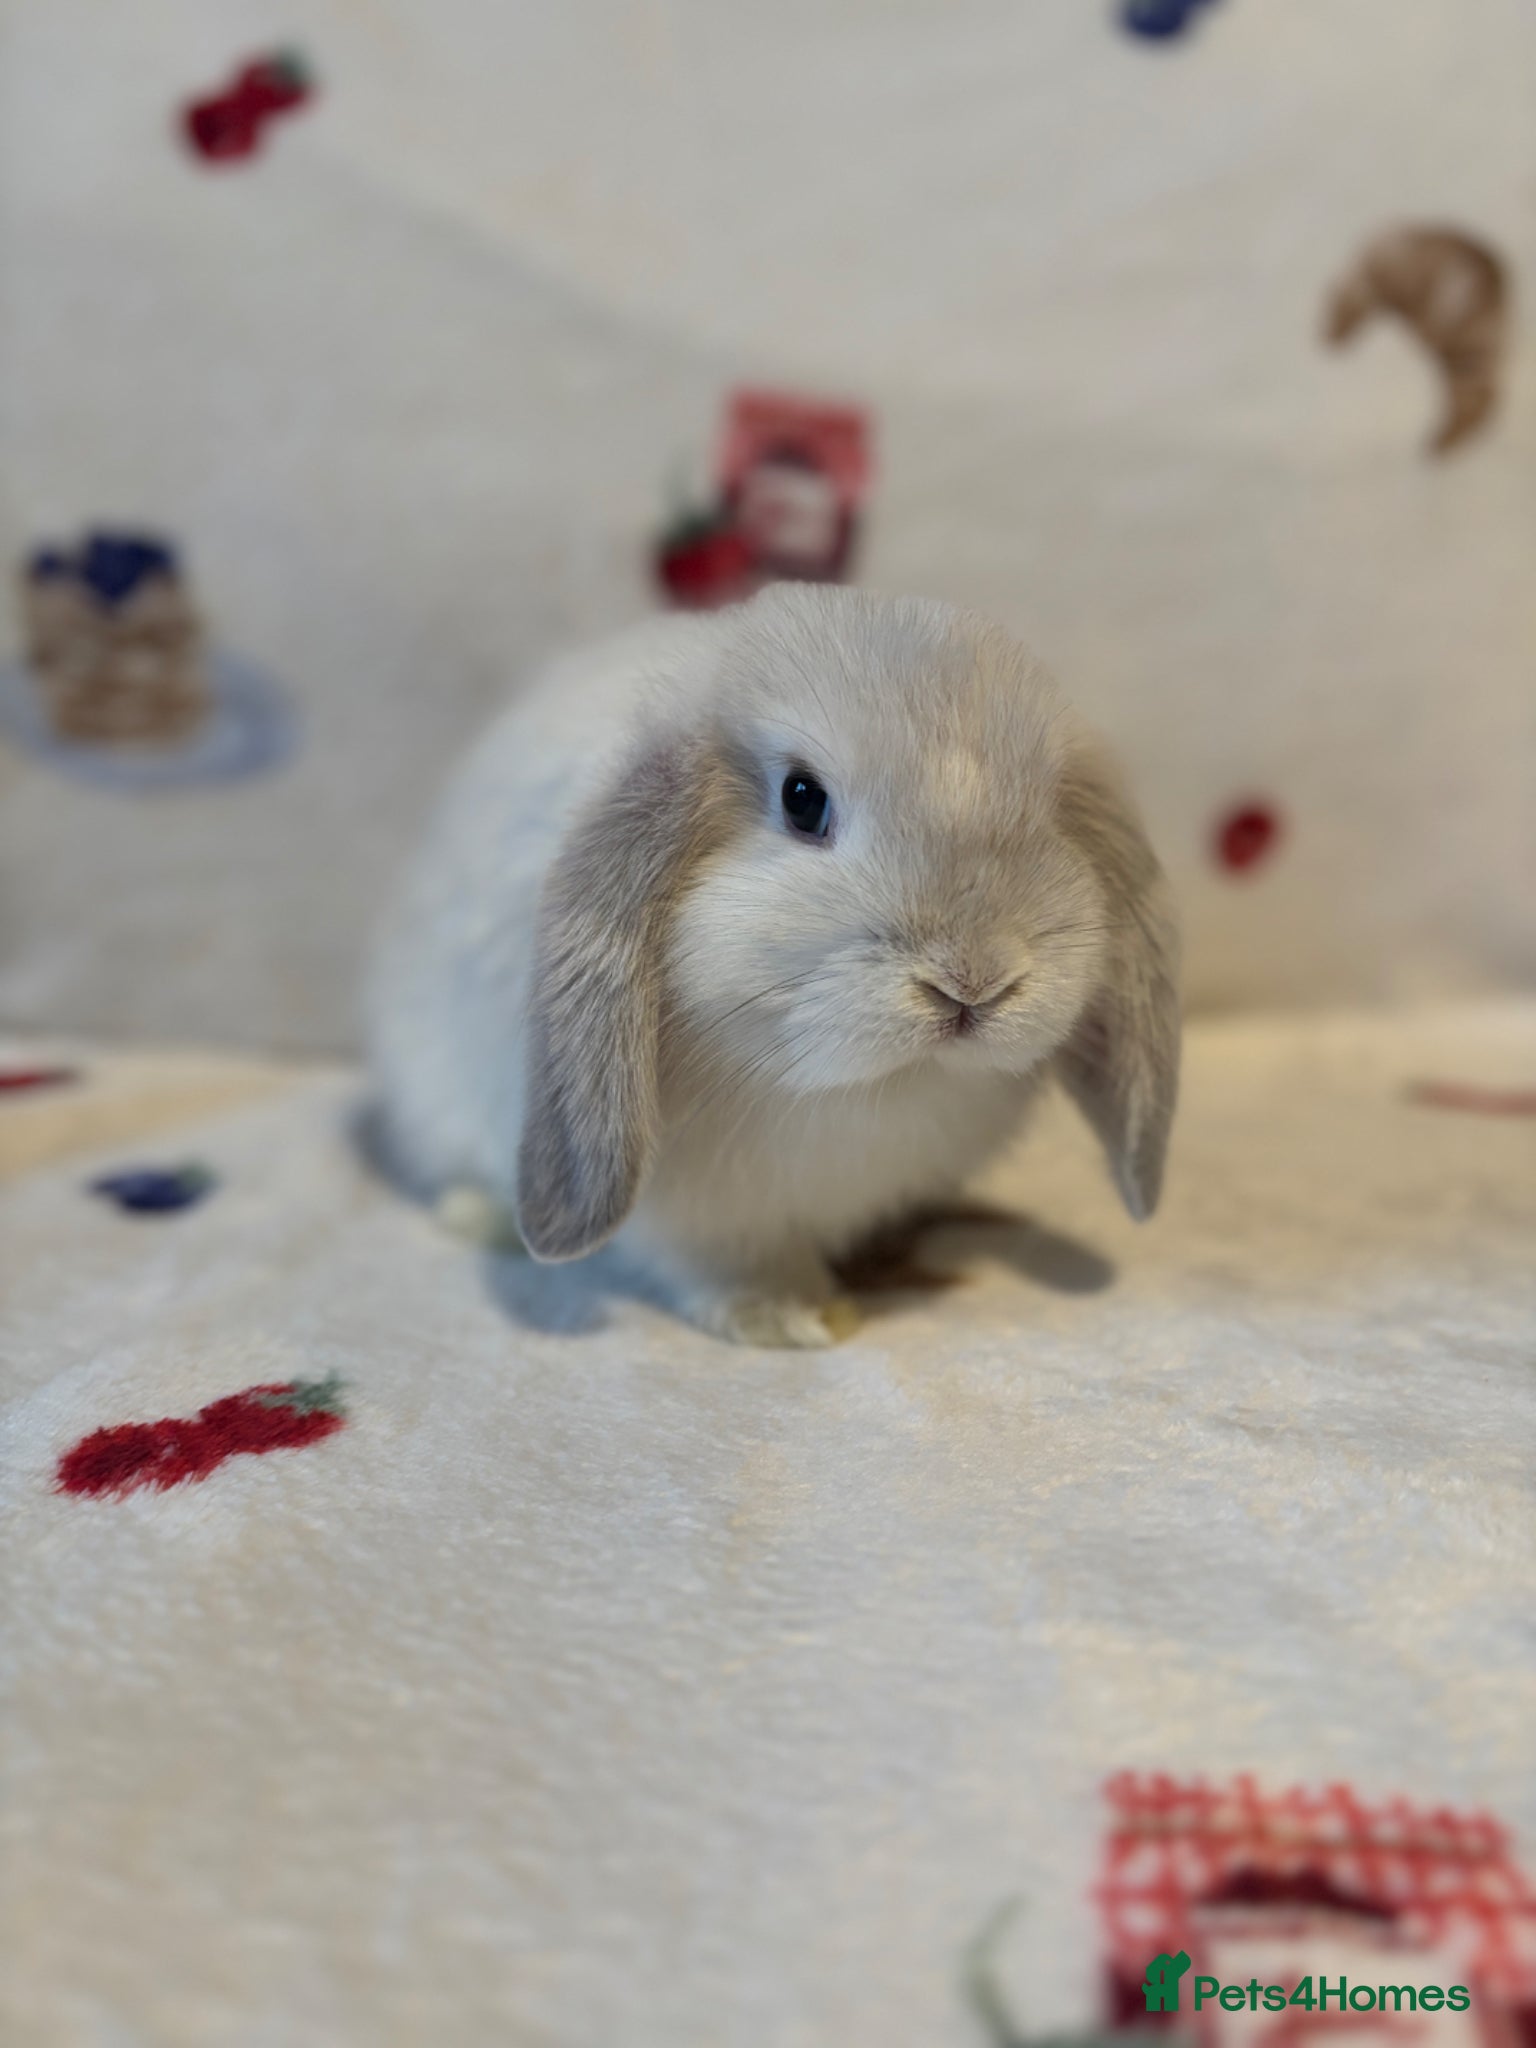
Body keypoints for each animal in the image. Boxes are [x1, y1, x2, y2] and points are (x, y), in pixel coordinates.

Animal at [365, 583, 1180, 1347]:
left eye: (1047, 812)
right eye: (802, 800)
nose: (972, 981)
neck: (869, 1088)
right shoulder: (699, 1214)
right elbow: (733, 1263)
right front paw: (794, 1317)